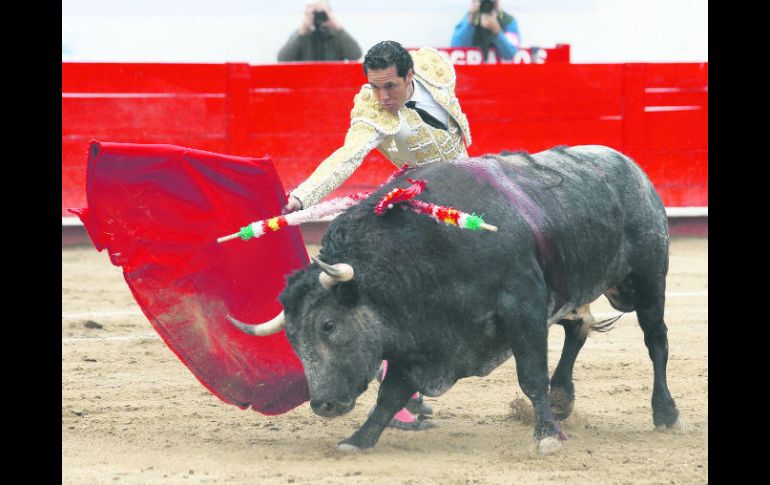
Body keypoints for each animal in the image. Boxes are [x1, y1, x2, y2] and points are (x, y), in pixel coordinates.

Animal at [228, 145, 684, 454]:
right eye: (291, 337)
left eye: (328, 325)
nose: (322, 404)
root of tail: (630, 168)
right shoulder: (417, 337)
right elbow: (390, 394)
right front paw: (359, 439)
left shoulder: (524, 309)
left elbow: (530, 376)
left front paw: (547, 436)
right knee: (577, 329)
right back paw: (563, 397)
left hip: (647, 280)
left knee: (656, 341)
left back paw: (665, 414)